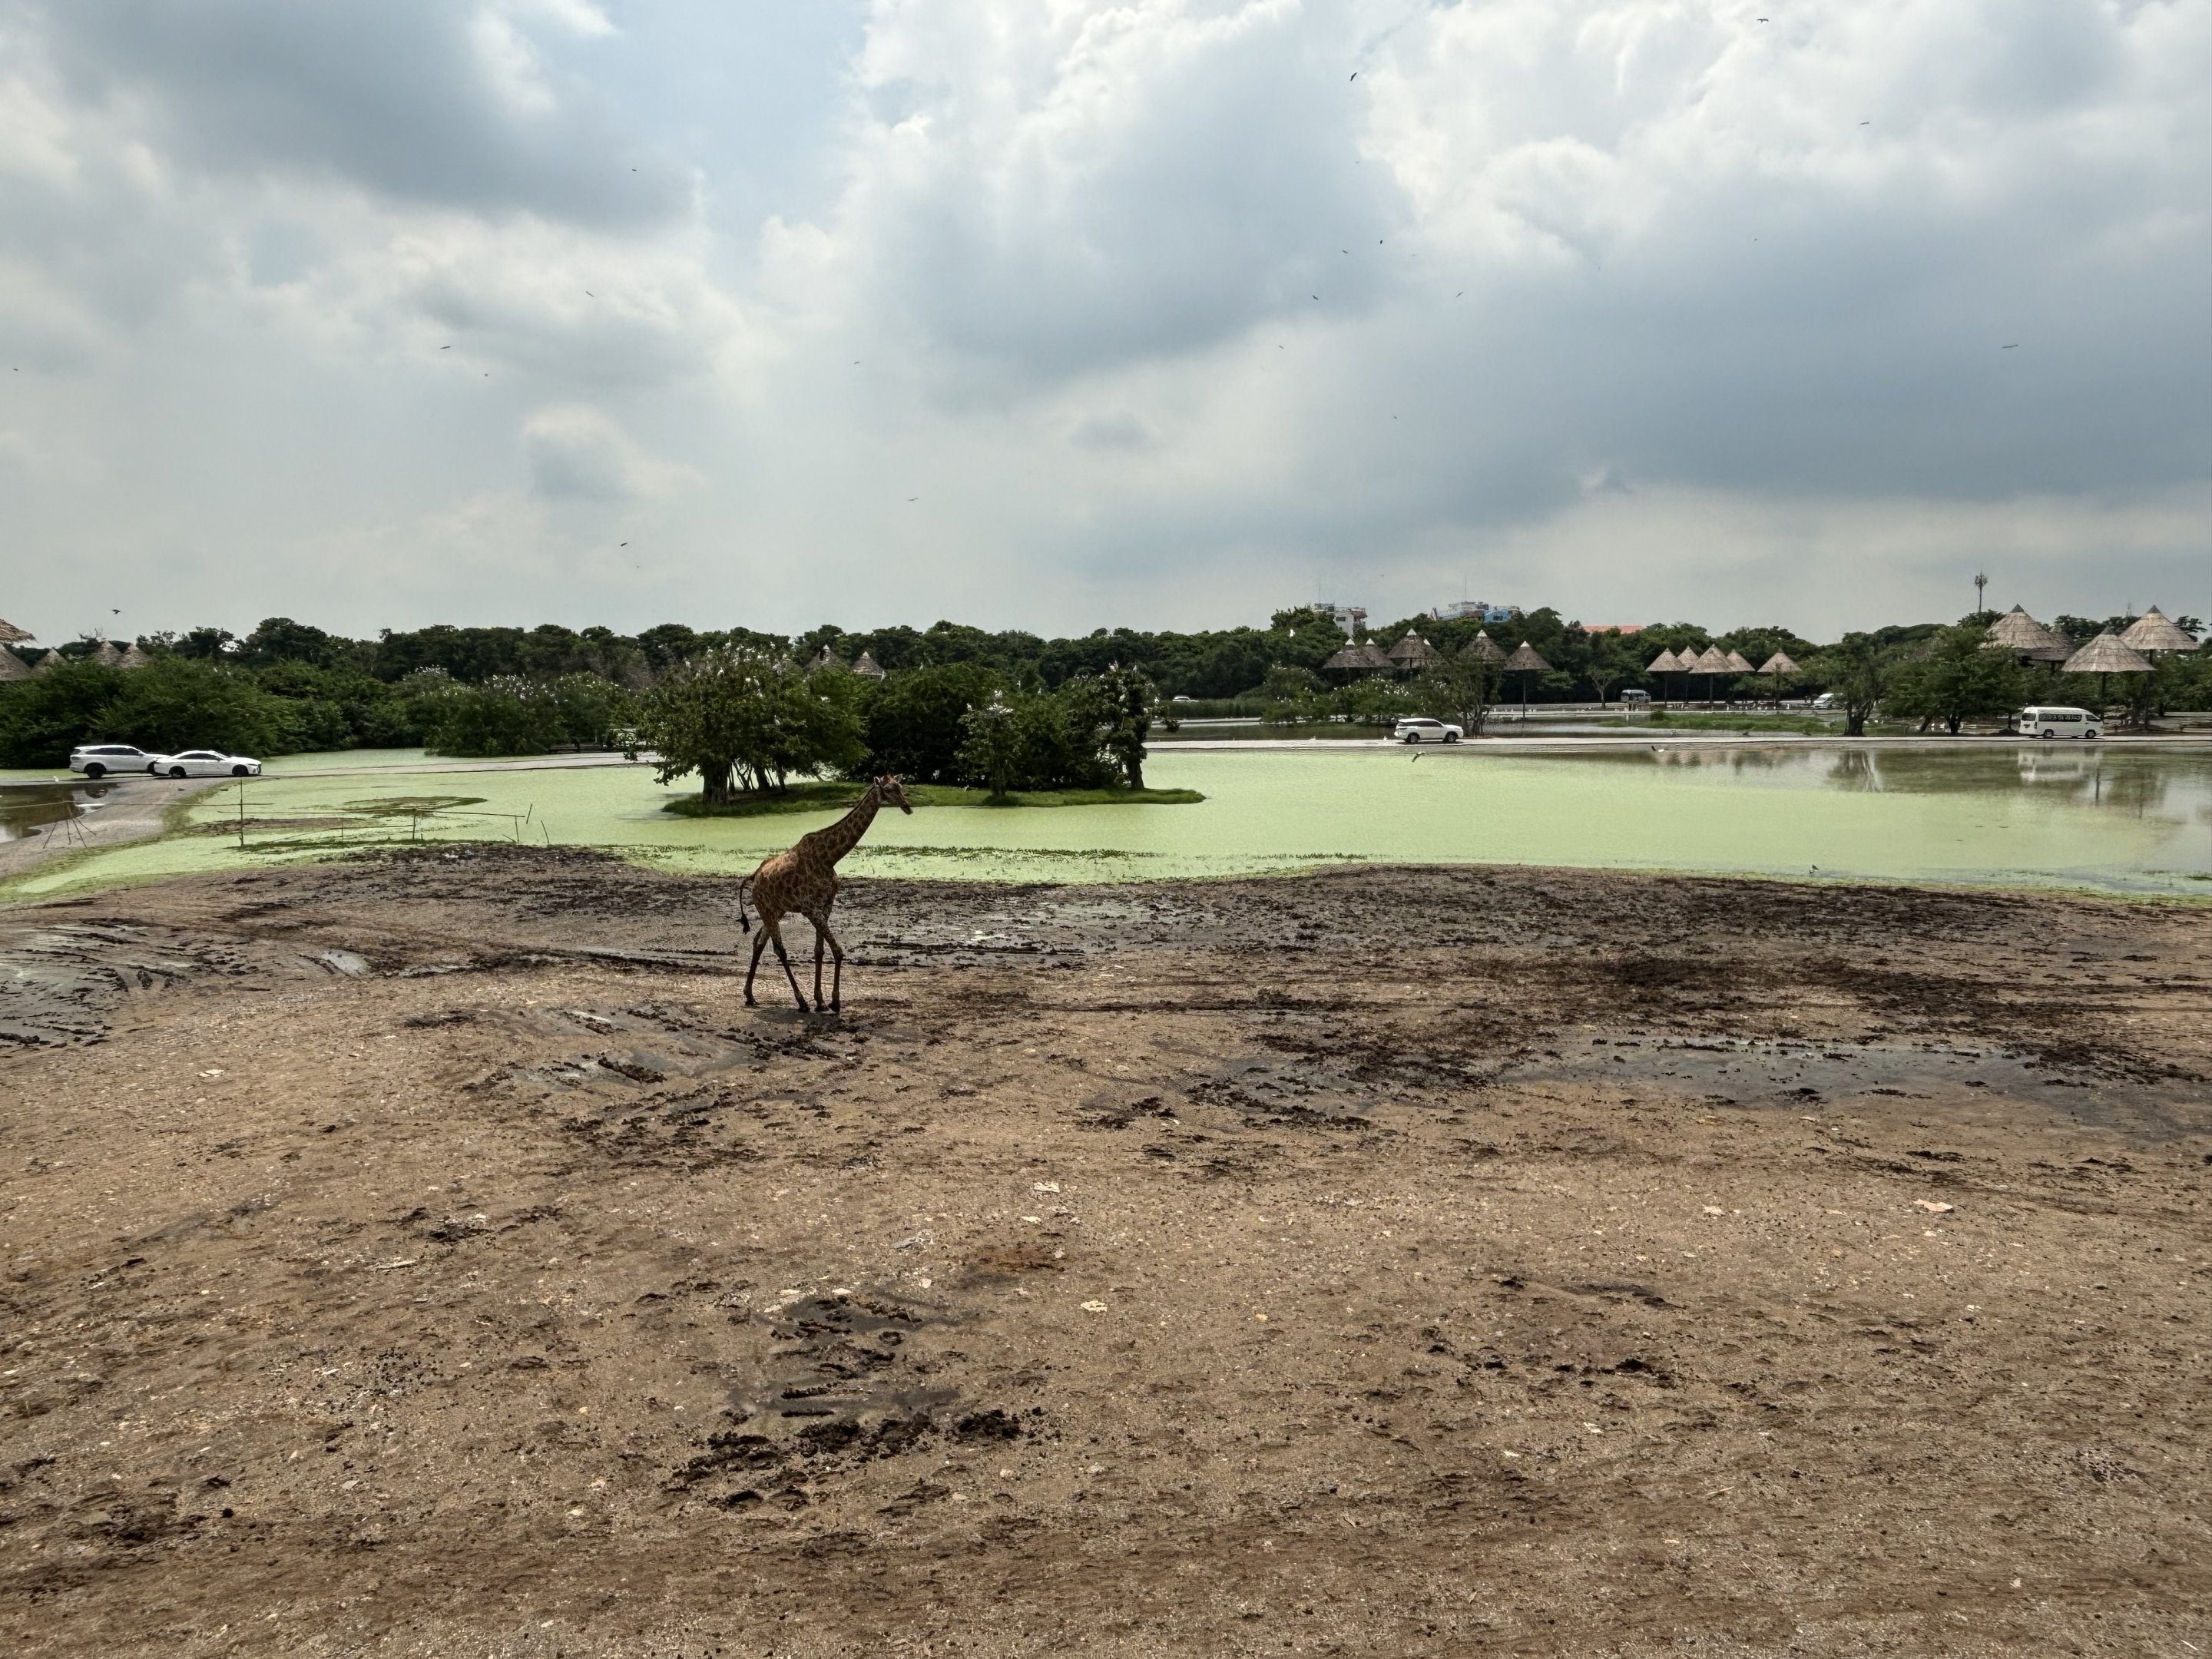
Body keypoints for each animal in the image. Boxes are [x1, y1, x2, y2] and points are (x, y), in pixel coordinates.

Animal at [738, 775, 913, 1012]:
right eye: (888, 789)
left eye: (900, 787)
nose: (907, 807)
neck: (829, 858)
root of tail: (754, 877)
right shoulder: (810, 908)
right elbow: (837, 950)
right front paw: (834, 1001)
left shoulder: (826, 905)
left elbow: (819, 950)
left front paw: (821, 1000)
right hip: (766, 908)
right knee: (779, 948)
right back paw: (800, 1001)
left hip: (776, 909)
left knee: (759, 941)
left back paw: (750, 995)